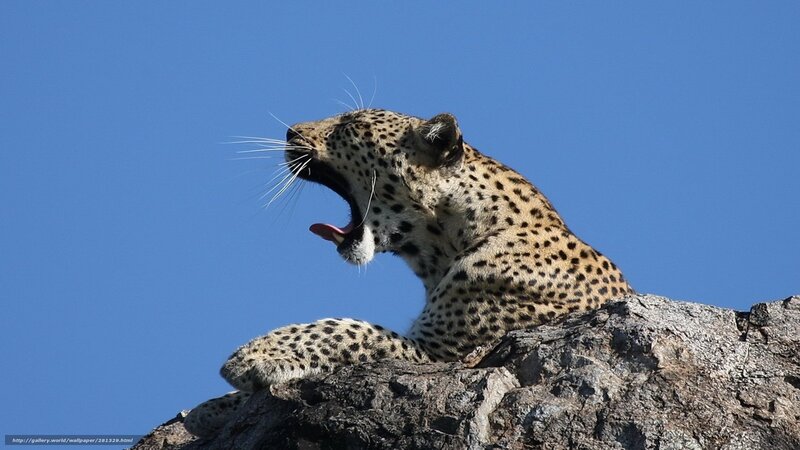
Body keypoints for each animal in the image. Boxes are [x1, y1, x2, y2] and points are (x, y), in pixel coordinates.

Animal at [183, 109, 634, 437]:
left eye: (350, 125)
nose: (291, 131)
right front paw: (211, 408)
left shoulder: (445, 354)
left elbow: (352, 328)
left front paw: (253, 356)